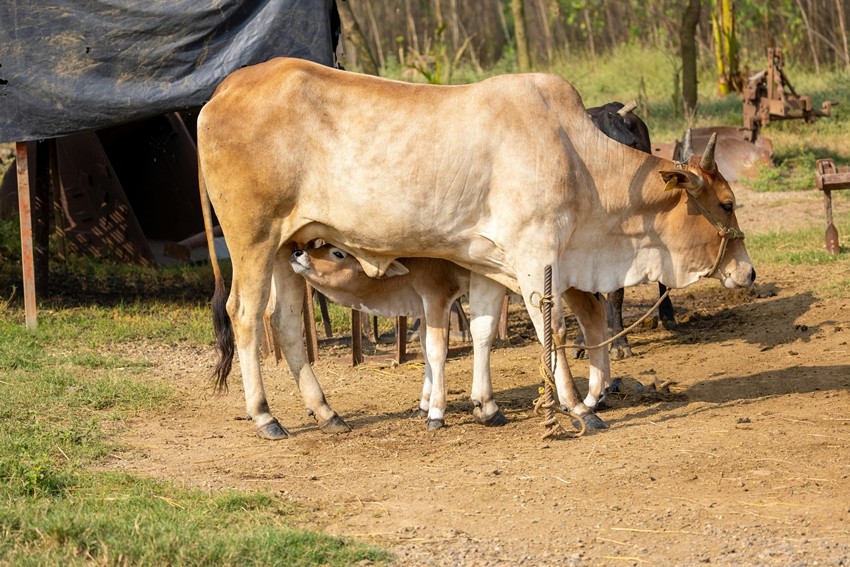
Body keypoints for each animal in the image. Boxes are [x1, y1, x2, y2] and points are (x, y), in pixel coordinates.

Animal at [197, 57, 754, 439]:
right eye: (727, 203)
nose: (747, 273)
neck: (577, 157)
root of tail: (225, 88)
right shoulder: (536, 253)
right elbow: (551, 327)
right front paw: (576, 407)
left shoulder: (488, 260)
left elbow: (485, 329)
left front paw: (486, 406)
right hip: (252, 239)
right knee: (245, 314)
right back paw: (265, 417)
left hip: (288, 246)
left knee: (286, 323)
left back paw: (326, 412)